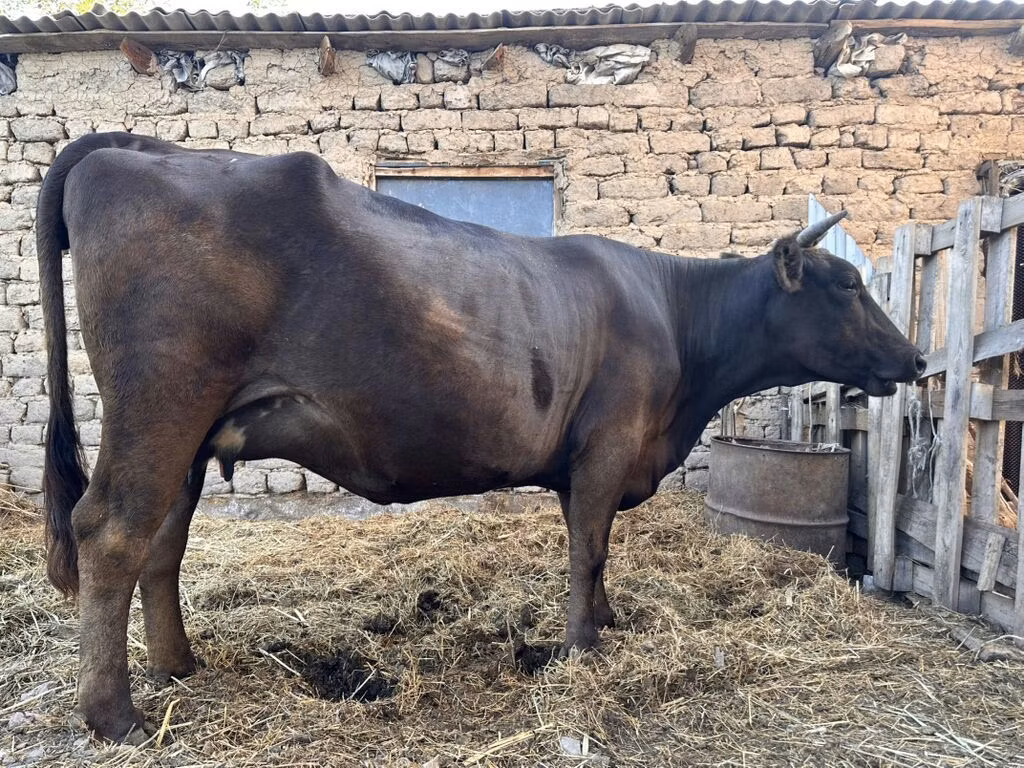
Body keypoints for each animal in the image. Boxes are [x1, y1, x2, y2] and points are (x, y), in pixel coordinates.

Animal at [36, 132, 925, 744]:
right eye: (848, 286)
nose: (917, 358)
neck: (675, 319)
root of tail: (137, 147)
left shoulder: (585, 464)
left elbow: (598, 546)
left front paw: (606, 622)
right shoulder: (607, 445)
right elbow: (587, 548)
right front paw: (580, 649)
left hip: (185, 434)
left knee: (162, 542)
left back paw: (177, 665)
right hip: (160, 406)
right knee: (110, 533)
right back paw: (114, 716)